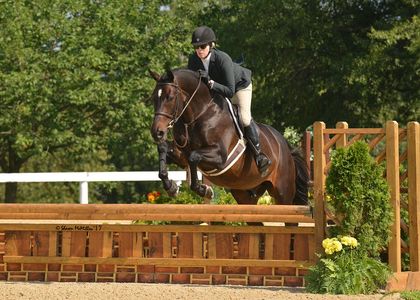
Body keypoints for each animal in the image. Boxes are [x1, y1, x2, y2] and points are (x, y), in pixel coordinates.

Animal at [149, 67, 306, 205]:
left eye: (170, 97)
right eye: (153, 98)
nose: (157, 132)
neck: (199, 114)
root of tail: (284, 145)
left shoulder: (220, 157)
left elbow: (194, 156)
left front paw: (204, 190)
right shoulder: (182, 155)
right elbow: (163, 148)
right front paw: (171, 187)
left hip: (283, 192)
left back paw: (262, 161)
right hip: (245, 194)